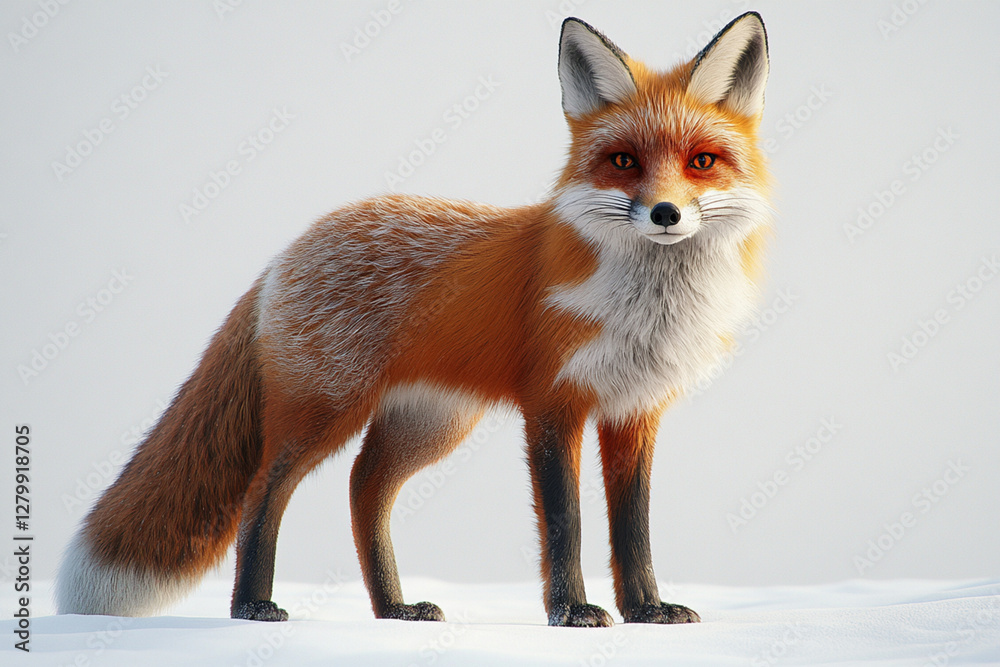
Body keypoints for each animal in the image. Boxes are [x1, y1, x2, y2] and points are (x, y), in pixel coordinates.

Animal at [56, 13, 771, 627]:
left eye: (701, 162)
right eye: (624, 162)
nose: (665, 214)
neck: (647, 307)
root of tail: (287, 251)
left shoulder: (634, 411)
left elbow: (634, 527)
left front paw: (647, 610)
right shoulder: (554, 403)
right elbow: (564, 522)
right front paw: (571, 612)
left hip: (429, 424)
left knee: (364, 488)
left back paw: (392, 609)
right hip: (326, 410)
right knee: (264, 491)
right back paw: (251, 606)